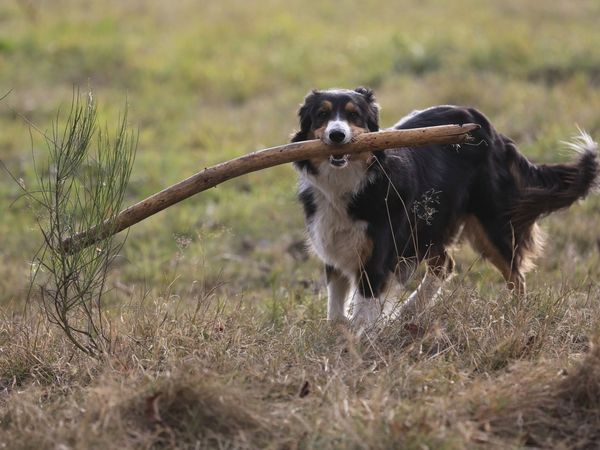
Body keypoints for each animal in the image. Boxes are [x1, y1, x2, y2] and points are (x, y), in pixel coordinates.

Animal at [292, 86, 600, 328]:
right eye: (322, 115)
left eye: (354, 115)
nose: (337, 135)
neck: (348, 181)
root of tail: (484, 123)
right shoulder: (333, 246)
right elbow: (336, 305)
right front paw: (342, 332)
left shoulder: (379, 256)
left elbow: (364, 310)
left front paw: (360, 342)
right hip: (430, 225)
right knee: (445, 264)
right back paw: (409, 312)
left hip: (490, 222)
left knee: (515, 276)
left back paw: (517, 315)